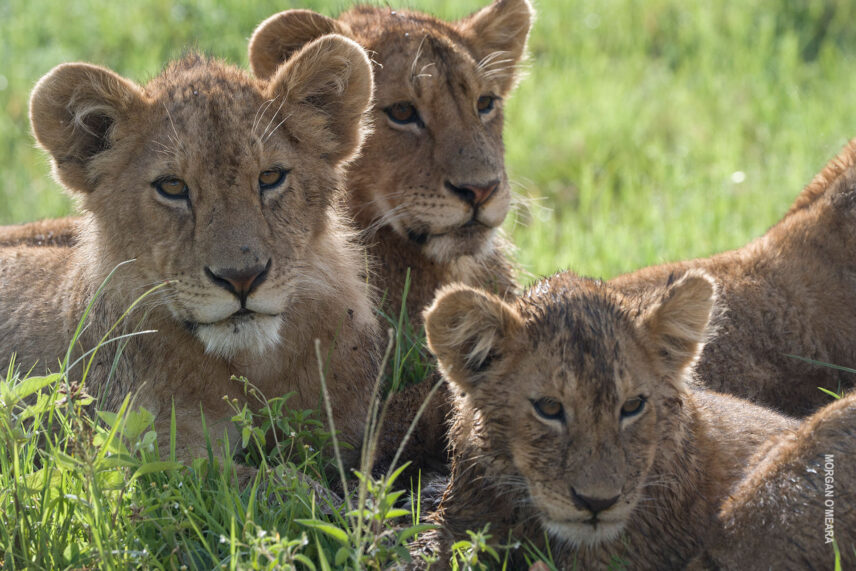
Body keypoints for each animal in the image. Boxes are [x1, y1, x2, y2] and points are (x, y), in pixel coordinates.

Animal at [0, 36, 380, 467]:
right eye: (172, 187)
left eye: (270, 177)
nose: (242, 278)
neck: (253, 368)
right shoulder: (154, 454)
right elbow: (273, 479)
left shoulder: (355, 431)